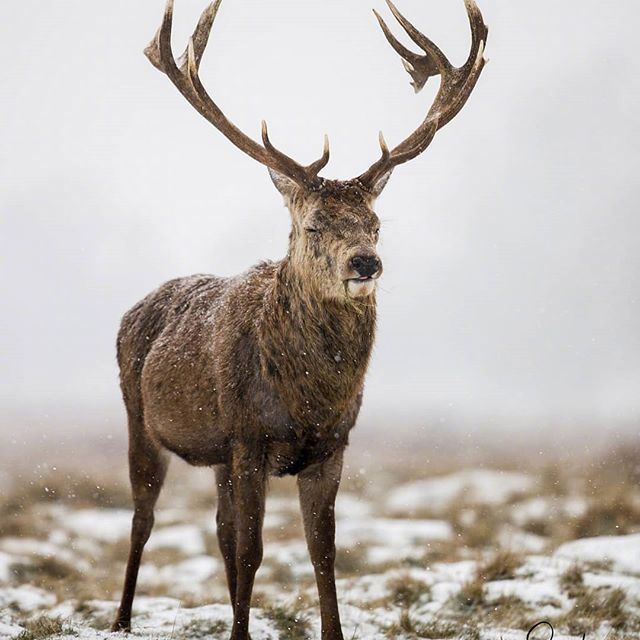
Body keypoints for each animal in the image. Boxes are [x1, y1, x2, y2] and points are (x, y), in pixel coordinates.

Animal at [112, 1, 488, 636]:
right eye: (314, 224)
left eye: (375, 223)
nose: (366, 262)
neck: (309, 396)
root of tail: (134, 307)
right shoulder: (250, 437)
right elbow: (253, 549)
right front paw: (239, 631)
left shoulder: (331, 446)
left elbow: (322, 550)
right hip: (141, 418)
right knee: (145, 518)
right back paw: (120, 619)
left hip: (218, 454)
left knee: (218, 527)